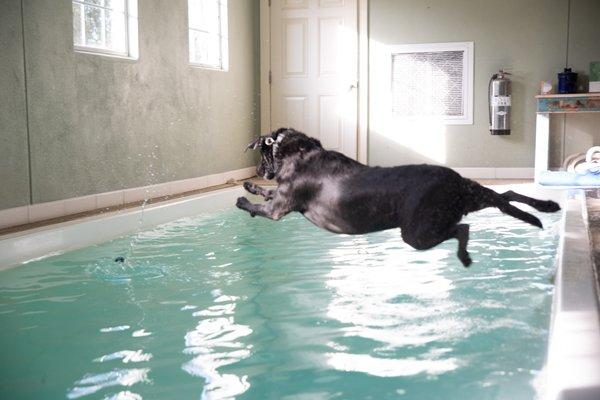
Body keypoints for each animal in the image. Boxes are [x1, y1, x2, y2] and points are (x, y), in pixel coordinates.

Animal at [237, 128, 560, 266]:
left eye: (261, 154)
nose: (257, 170)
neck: (295, 150)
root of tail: (456, 183)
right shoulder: (281, 196)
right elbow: (266, 191)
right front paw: (250, 187)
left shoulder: (279, 209)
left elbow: (261, 206)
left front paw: (243, 201)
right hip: (474, 198)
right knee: (506, 194)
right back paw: (546, 205)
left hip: (417, 233)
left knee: (464, 228)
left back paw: (465, 256)